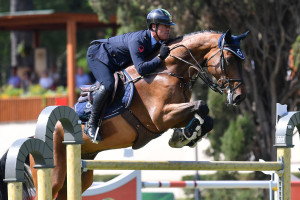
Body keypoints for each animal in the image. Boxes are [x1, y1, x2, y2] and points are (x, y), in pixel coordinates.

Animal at [15, 29, 251, 198]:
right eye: (230, 59)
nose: (239, 97)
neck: (168, 71)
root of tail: (36, 136)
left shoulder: (175, 113)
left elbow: (205, 115)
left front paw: (184, 136)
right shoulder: (160, 117)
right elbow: (202, 105)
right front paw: (184, 136)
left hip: (80, 174)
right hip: (54, 174)